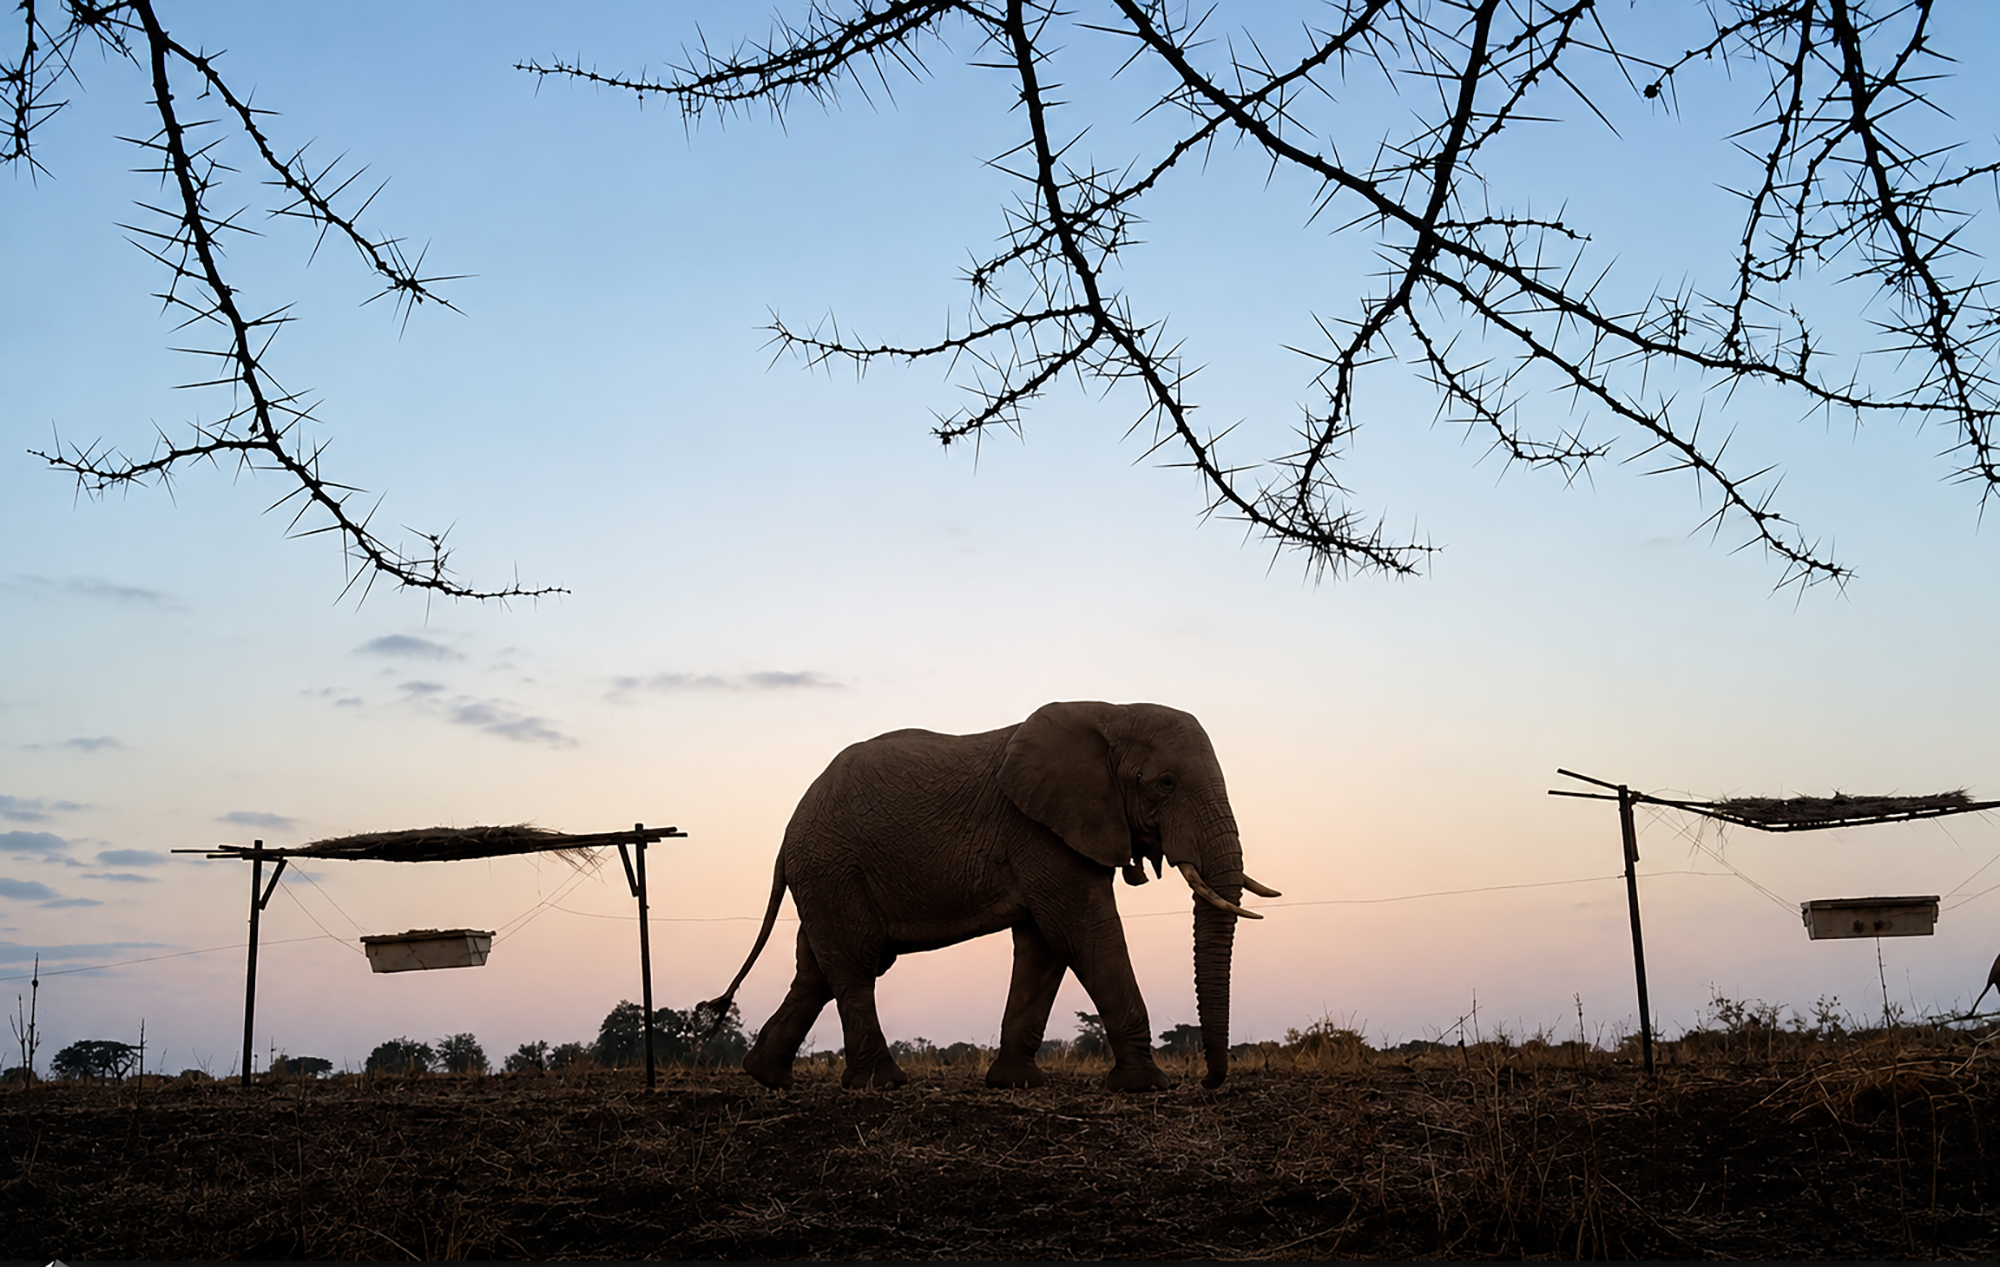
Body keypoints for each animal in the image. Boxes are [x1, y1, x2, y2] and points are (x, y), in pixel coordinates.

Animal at [703, 700, 1278, 1092]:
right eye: (1165, 784)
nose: (1208, 1081)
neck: (1111, 711)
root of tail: (787, 834)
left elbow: (1044, 947)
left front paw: (1015, 1083)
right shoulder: (1040, 832)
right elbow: (1083, 930)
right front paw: (1147, 1086)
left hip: (828, 875)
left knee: (817, 969)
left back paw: (767, 1077)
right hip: (832, 865)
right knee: (857, 962)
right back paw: (883, 1084)